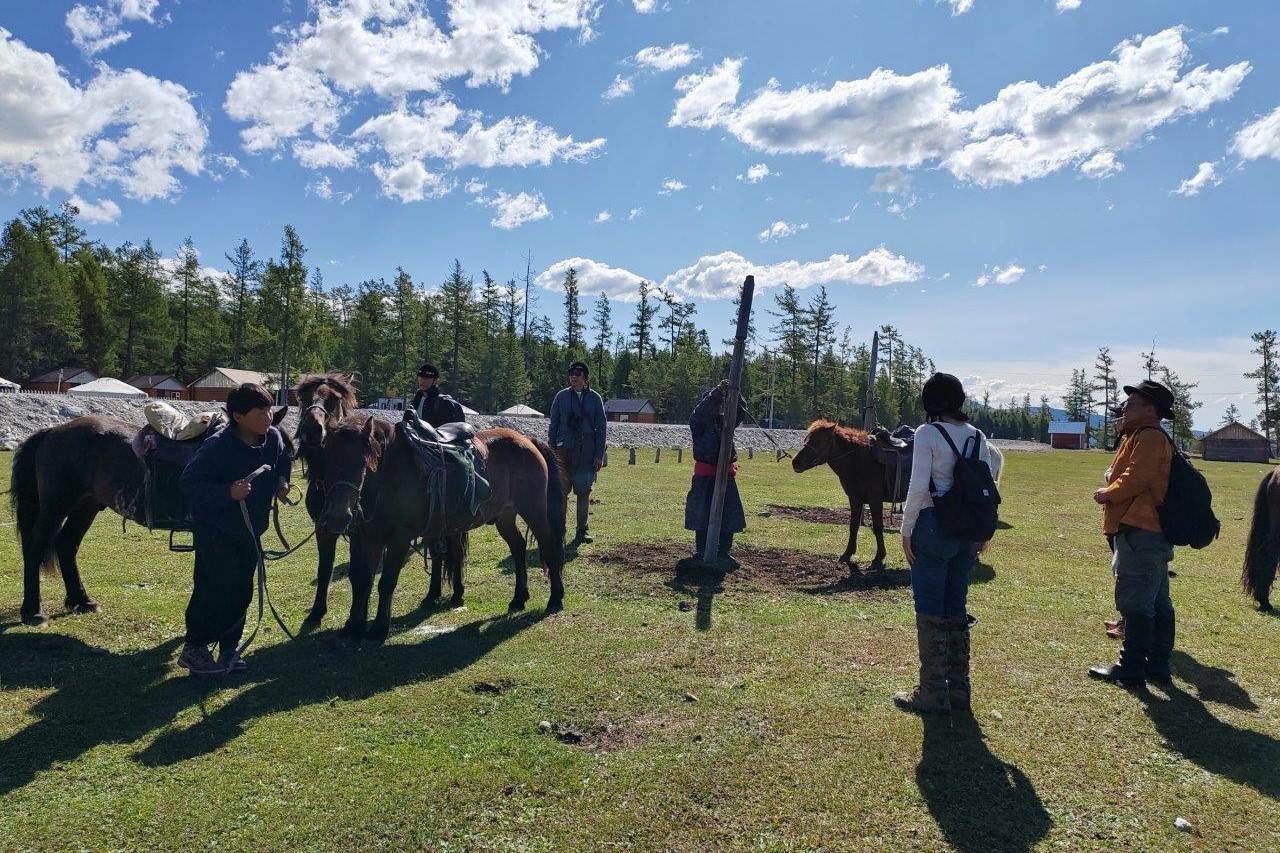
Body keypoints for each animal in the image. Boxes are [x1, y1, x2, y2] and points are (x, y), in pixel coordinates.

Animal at [8, 402, 288, 622]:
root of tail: (53, 431)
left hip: (86, 507)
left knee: (66, 545)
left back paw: (81, 601)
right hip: (55, 507)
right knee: (34, 548)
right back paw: (33, 611)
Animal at [317, 414, 563, 640]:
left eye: (362, 463)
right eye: (325, 460)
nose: (338, 516)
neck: (390, 475)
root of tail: (527, 440)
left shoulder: (399, 538)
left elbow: (386, 582)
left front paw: (378, 629)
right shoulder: (370, 537)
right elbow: (362, 580)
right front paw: (354, 626)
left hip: (534, 511)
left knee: (549, 548)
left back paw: (555, 599)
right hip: (505, 517)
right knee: (518, 547)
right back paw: (519, 599)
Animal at [788, 420, 901, 571]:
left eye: (819, 440)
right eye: (807, 439)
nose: (795, 462)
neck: (860, 460)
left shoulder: (875, 500)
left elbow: (877, 527)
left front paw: (878, 558)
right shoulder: (855, 499)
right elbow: (853, 525)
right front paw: (847, 553)